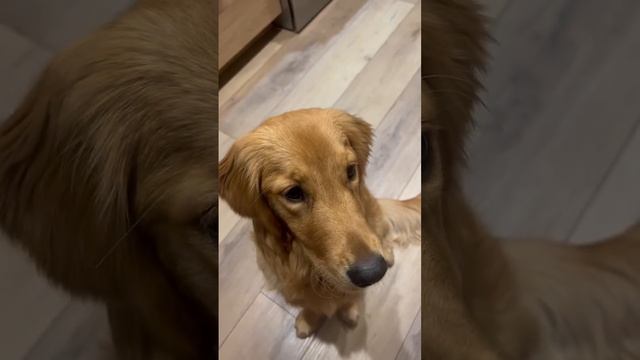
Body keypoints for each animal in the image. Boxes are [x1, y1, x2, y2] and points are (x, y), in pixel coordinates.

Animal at [219, 109, 420, 338]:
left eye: (351, 171)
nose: (372, 272)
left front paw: (349, 310)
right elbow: (312, 305)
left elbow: (348, 298)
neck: (311, 267)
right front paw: (309, 320)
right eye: (293, 193)